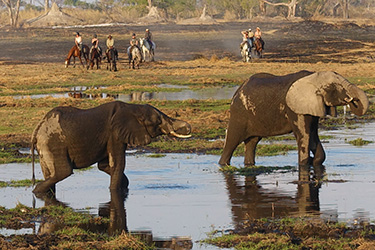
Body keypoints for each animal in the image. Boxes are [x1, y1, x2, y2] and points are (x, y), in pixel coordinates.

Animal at [30, 100, 192, 194]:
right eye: (157, 121)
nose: (189, 128)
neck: (132, 107)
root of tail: (37, 128)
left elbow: (104, 165)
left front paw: (123, 186)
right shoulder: (115, 133)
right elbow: (118, 163)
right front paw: (114, 191)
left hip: (45, 146)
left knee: (50, 174)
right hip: (53, 142)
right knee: (63, 172)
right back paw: (36, 190)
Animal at [220, 70, 370, 167]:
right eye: (336, 87)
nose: (353, 101)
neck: (312, 77)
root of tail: (238, 90)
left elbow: (312, 135)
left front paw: (313, 161)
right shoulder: (294, 108)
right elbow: (304, 135)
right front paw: (305, 163)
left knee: (252, 142)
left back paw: (249, 165)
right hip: (239, 113)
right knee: (232, 141)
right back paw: (223, 164)